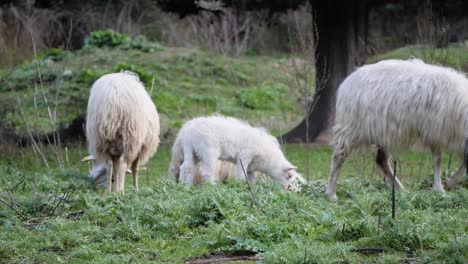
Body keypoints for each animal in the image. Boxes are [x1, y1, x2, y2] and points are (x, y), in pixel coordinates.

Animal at [168, 115, 304, 190]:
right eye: (289, 176)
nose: (287, 189)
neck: (268, 159)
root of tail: (189, 132)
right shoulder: (244, 157)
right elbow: (241, 177)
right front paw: (240, 187)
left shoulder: (251, 167)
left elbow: (251, 179)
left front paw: (251, 189)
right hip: (208, 151)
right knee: (206, 172)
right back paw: (213, 188)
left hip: (192, 151)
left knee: (186, 167)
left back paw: (185, 187)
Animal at [328, 59, 468, 200]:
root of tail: (347, 82)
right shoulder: (434, 131)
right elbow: (438, 160)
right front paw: (441, 188)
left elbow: (462, 162)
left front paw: (447, 184)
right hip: (351, 128)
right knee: (338, 156)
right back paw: (331, 194)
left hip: (382, 134)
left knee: (381, 160)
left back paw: (401, 189)